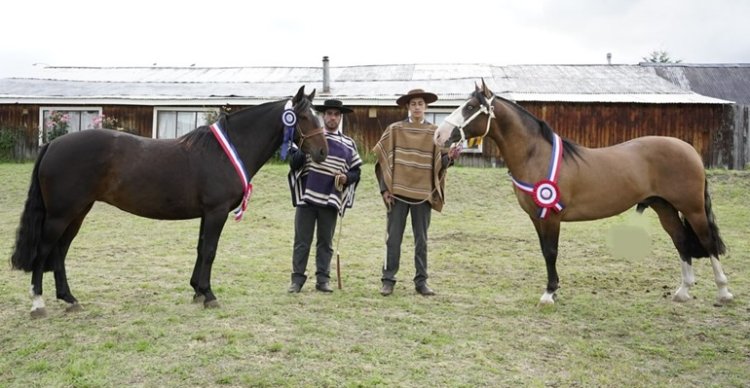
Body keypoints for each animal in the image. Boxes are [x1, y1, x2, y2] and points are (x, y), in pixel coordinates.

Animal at [11, 85, 328, 316]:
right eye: (303, 118)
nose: (323, 152)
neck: (224, 152)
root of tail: (53, 143)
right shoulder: (216, 212)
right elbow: (210, 251)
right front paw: (209, 295)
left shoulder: (207, 214)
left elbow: (201, 249)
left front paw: (197, 290)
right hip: (60, 215)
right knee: (44, 251)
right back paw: (38, 304)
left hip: (77, 213)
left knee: (60, 252)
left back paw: (69, 299)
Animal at [434, 81, 736, 306]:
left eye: (470, 107)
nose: (439, 135)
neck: (536, 156)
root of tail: (689, 149)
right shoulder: (537, 217)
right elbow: (545, 251)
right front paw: (552, 289)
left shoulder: (551, 217)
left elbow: (551, 252)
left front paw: (549, 294)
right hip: (664, 207)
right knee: (681, 241)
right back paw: (683, 291)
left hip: (692, 208)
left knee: (707, 242)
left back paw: (723, 292)